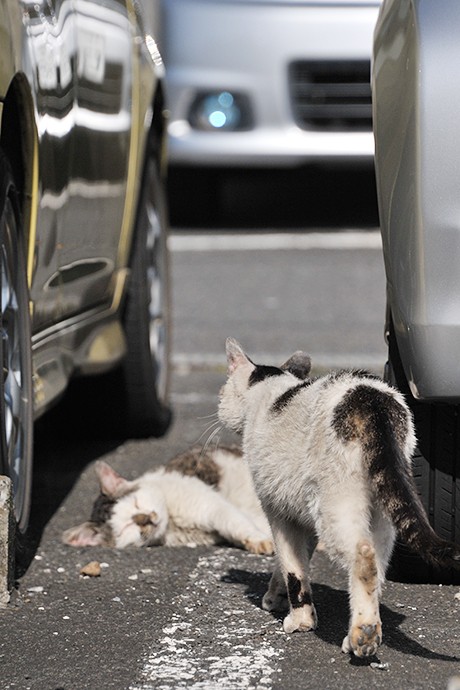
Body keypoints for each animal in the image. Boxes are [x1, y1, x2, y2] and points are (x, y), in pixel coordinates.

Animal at [63, 446, 274, 552]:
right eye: (127, 526)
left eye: (136, 503)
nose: (146, 519)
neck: (173, 523)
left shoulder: (214, 506)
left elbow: (238, 523)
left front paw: (259, 541)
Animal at [217, 338, 460, 656]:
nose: (219, 405)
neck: (272, 390)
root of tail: (372, 399)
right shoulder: (301, 515)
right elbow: (294, 562)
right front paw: (276, 596)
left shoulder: (277, 510)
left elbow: (292, 567)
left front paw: (301, 620)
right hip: (381, 509)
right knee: (378, 563)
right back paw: (366, 627)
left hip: (335, 507)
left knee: (364, 556)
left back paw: (363, 635)